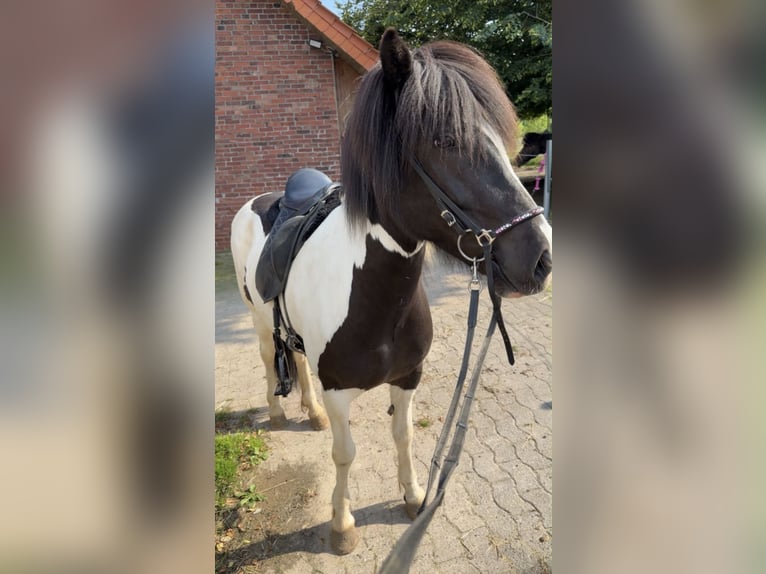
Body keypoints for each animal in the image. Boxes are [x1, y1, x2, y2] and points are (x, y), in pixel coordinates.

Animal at [230, 29, 552, 555]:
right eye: (446, 140)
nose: (541, 258)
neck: (376, 302)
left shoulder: (408, 377)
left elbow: (403, 437)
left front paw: (414, 494)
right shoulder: (339, 390)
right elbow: (344, 453)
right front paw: (342, 525)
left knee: (295, 358)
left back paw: (310, 413)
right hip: (258, 322)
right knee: (268, 357)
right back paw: (280, 413)